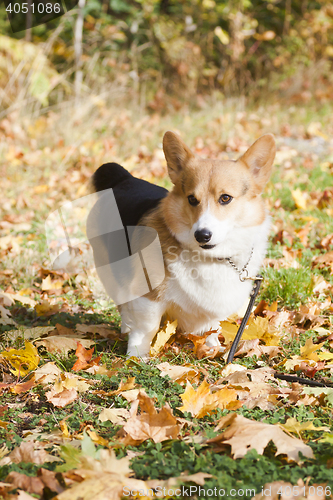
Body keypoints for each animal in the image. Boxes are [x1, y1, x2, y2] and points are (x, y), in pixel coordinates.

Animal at [87, 132, 274, 360]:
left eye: (225, 198)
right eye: (192, 199)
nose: (202, 235)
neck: (210, 259)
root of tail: (125, 178)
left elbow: (214, 326)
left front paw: (212, 347)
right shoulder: (149, 297)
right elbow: (146, 327)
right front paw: (137, 356)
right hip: (110, 271)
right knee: (124, 304)